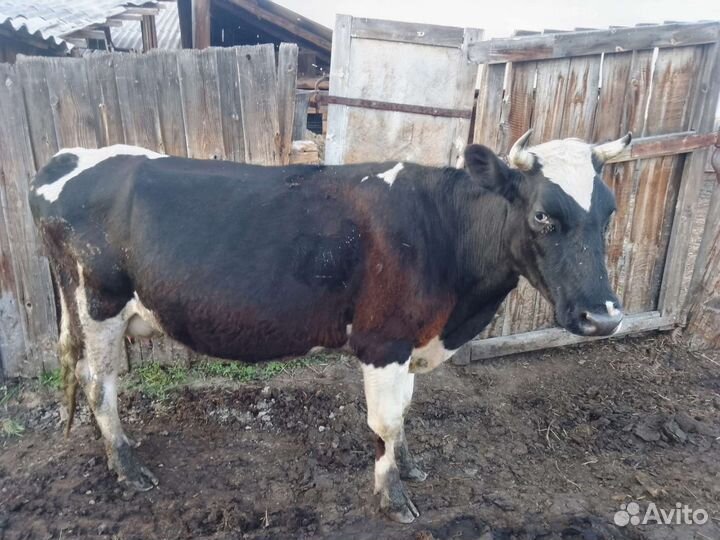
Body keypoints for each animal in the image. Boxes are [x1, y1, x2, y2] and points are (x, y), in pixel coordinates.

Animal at [29, 130, 630, 523]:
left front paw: (409, 467)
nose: (603, 315)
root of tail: (67, 157)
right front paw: (392, 498)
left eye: (610, 213)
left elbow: (404, 413)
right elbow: (385, 420)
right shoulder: (383, 340)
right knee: (99, 385)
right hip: (99, 301)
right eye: (543, 215)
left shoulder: (409, 342)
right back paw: (128, 468)